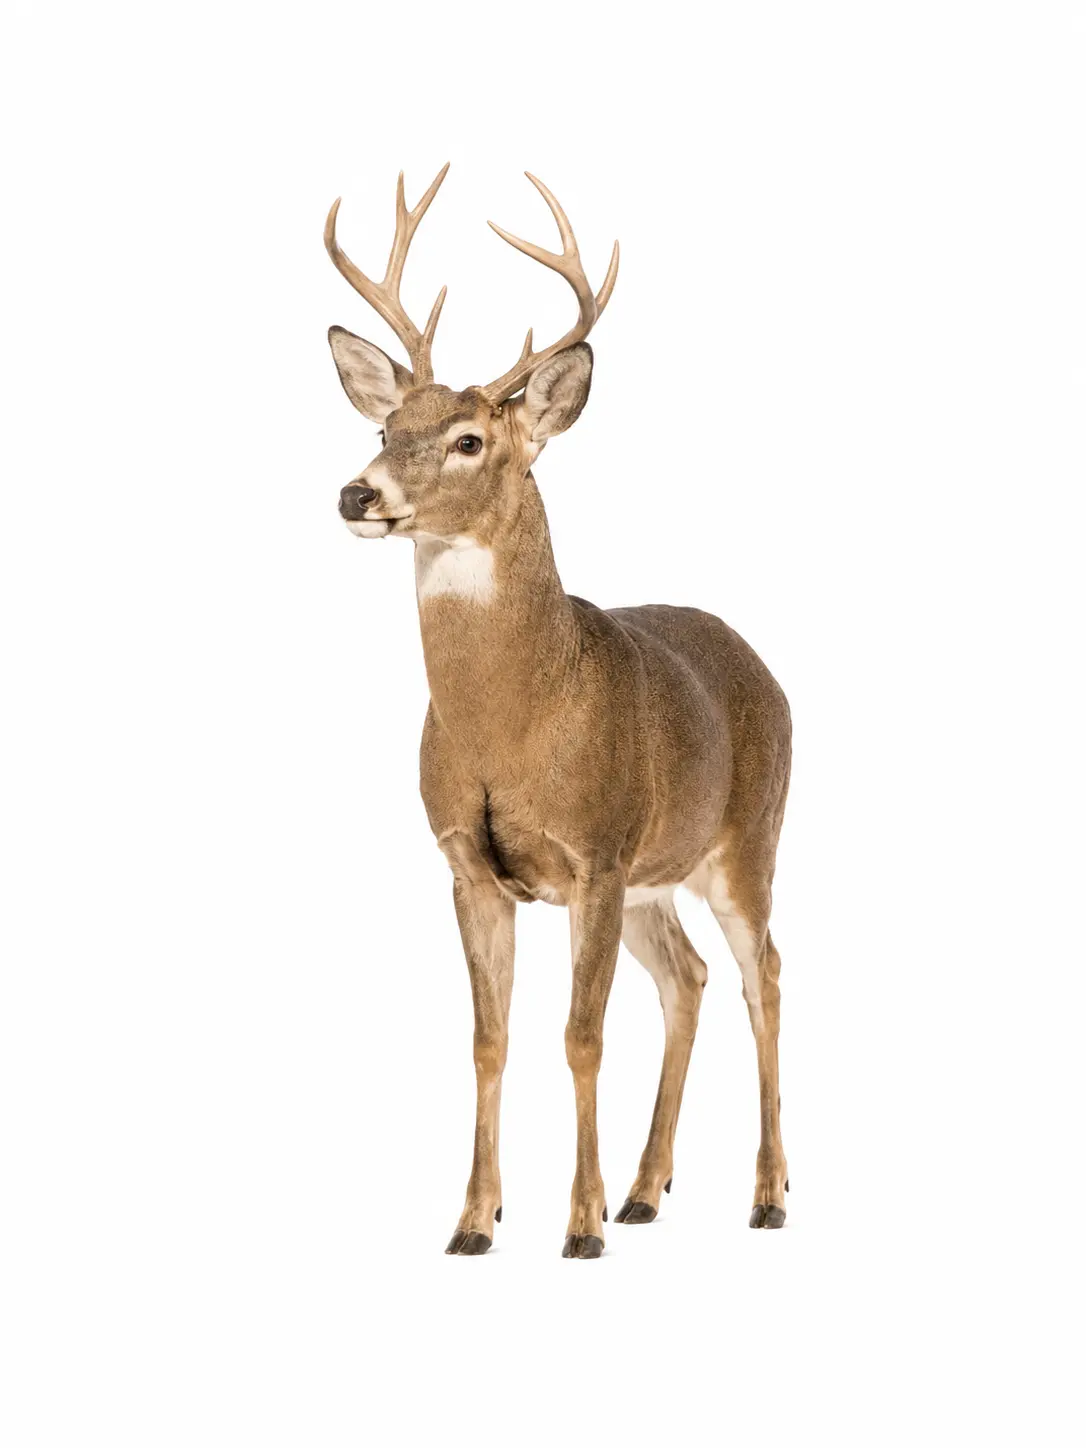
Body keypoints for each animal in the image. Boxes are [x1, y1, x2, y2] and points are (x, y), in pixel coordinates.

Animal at [325, 165, 791, 1258]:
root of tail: (768, 667)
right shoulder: (467, 862)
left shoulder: (597, 851)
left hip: (747, 839)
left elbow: (581, 1035)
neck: (511, 726)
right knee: (689, 978)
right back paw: (649, 1189)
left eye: (469, 439)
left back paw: (766, 1194)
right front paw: (474, 1219)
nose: (357, 493)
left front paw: (577, 1225)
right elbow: (488, 1038)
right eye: (382, 430)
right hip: (660, 874)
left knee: (764, 975)